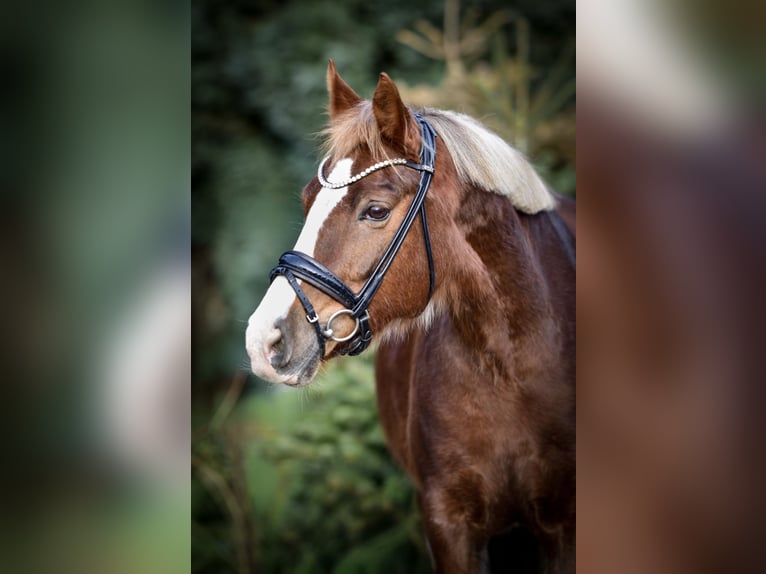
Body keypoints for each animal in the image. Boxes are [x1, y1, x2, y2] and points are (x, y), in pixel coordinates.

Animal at [246, 60, 575, 573]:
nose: (263, 339)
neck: (512, 369)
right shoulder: (448, 524)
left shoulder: (563, 527)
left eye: (376, 210)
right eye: (306, 200)